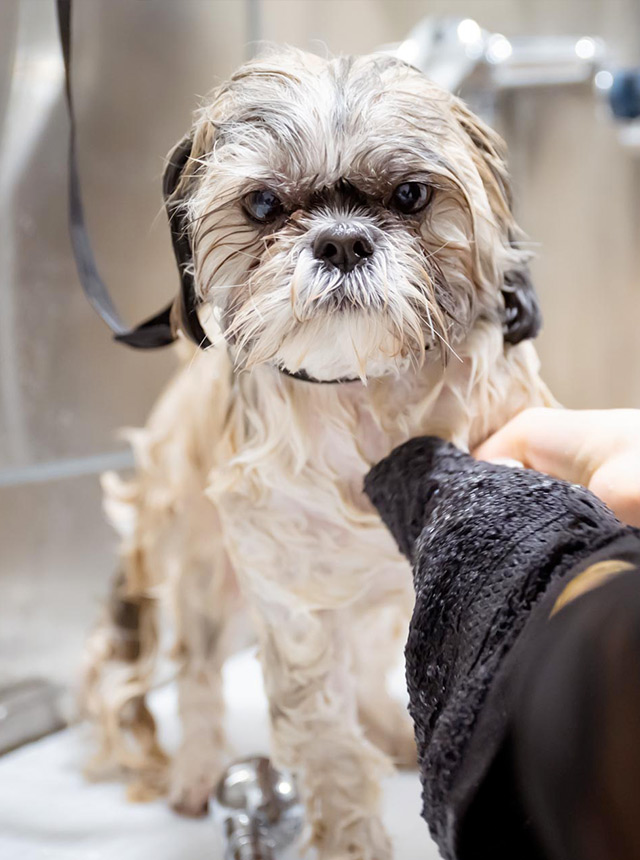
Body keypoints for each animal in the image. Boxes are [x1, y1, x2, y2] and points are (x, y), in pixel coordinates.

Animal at [82, 48, 553, 860]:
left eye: (411, 193)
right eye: (264, 204)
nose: (340, 242)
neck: (365, 400)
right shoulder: (294, 604)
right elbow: (328, 749)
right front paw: (352, 837)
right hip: (204, 572)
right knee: (198, 672)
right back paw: (200, 769)